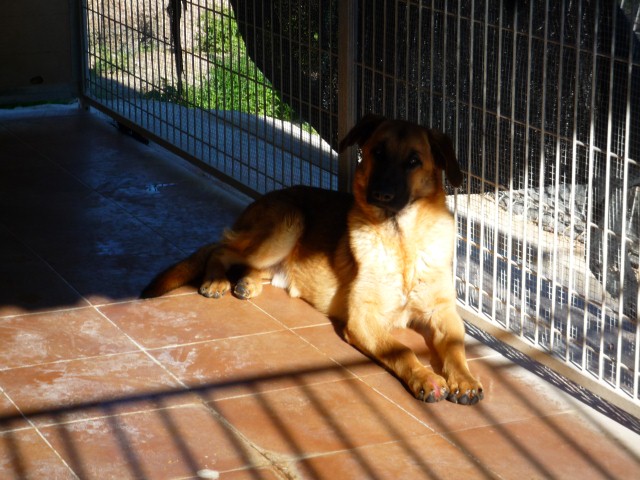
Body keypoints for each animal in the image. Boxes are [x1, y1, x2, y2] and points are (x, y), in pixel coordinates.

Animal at [144, 114, 484, 404]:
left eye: (414, 161)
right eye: (377, 152)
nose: (382, 195)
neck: (403, 243)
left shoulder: (443, 314)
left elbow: (456, 350)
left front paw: (465, 380)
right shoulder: (363, 319)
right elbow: (401, 350)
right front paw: (425, 378)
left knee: (245, 263)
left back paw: (246, 284)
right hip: (287, 225)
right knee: (219, 250)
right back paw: (216, 280)